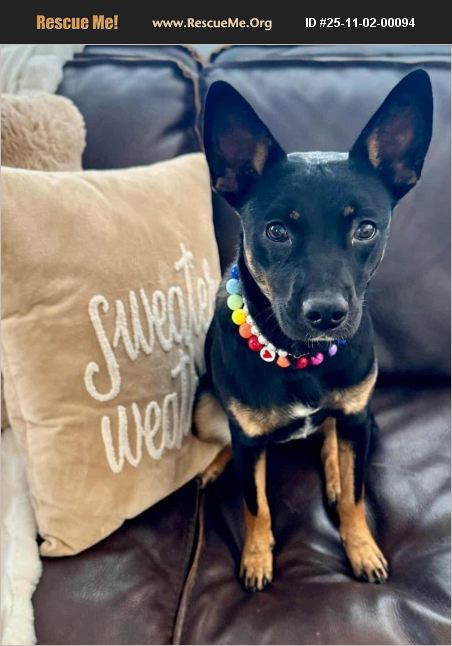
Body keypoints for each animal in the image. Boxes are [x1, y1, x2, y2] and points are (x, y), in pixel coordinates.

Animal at [194, 70, 433, 591]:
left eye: (366, 229)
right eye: (276, 231)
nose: (326, 314)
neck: (299, 355)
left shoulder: (357, 418)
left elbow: (356, 497)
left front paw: (360, 547)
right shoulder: (248, 442)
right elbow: (256, 504)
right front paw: (257, 557)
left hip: (361, 418)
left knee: (330, 437)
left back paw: (332, 470)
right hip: (204, 407)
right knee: (226, 438)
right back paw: (213, 466)